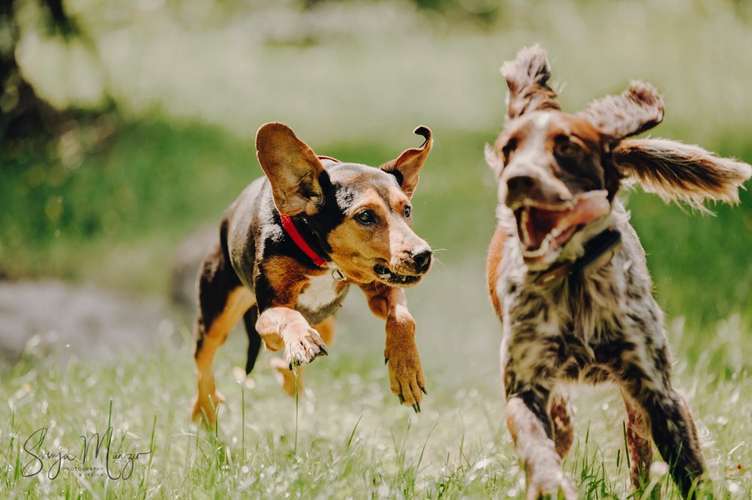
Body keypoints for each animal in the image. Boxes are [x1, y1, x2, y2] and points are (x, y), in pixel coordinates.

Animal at [191, 122, 432, 426]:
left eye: (407, 210)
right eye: (365, 216)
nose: (423, 255)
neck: (322, 259)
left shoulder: (384, 285)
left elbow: (403, 319)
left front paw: (406, 371)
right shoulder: (267, 312)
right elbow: (287, 316)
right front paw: (300, 338)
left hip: (326, 322)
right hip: (217, 315)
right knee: (203, 361)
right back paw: (206, 409)